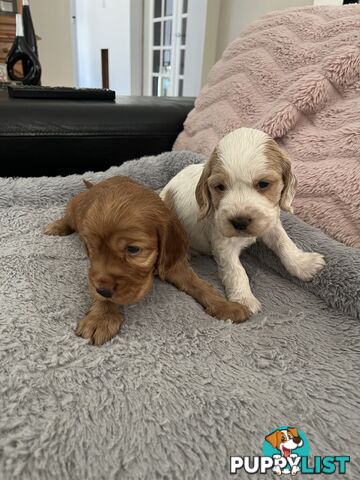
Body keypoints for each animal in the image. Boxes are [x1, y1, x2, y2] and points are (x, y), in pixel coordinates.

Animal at [44, 176, 248, 344]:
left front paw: (225, 305)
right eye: (91, 247)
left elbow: (199, 284)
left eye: (133, 249)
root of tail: (93, 186)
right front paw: (101, 317)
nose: (103, 290)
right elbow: (99, 284)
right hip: (73, 207)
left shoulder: (173, 263)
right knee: (67, 217)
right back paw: (56, 227)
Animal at [162, 127, 324, 316]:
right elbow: (236, 271)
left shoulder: (271, 223)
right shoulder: (223, 244)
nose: (239, 222)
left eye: (263, 184)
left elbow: (285, 243)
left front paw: (303, 264)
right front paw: (244, 300)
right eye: (220, 187)